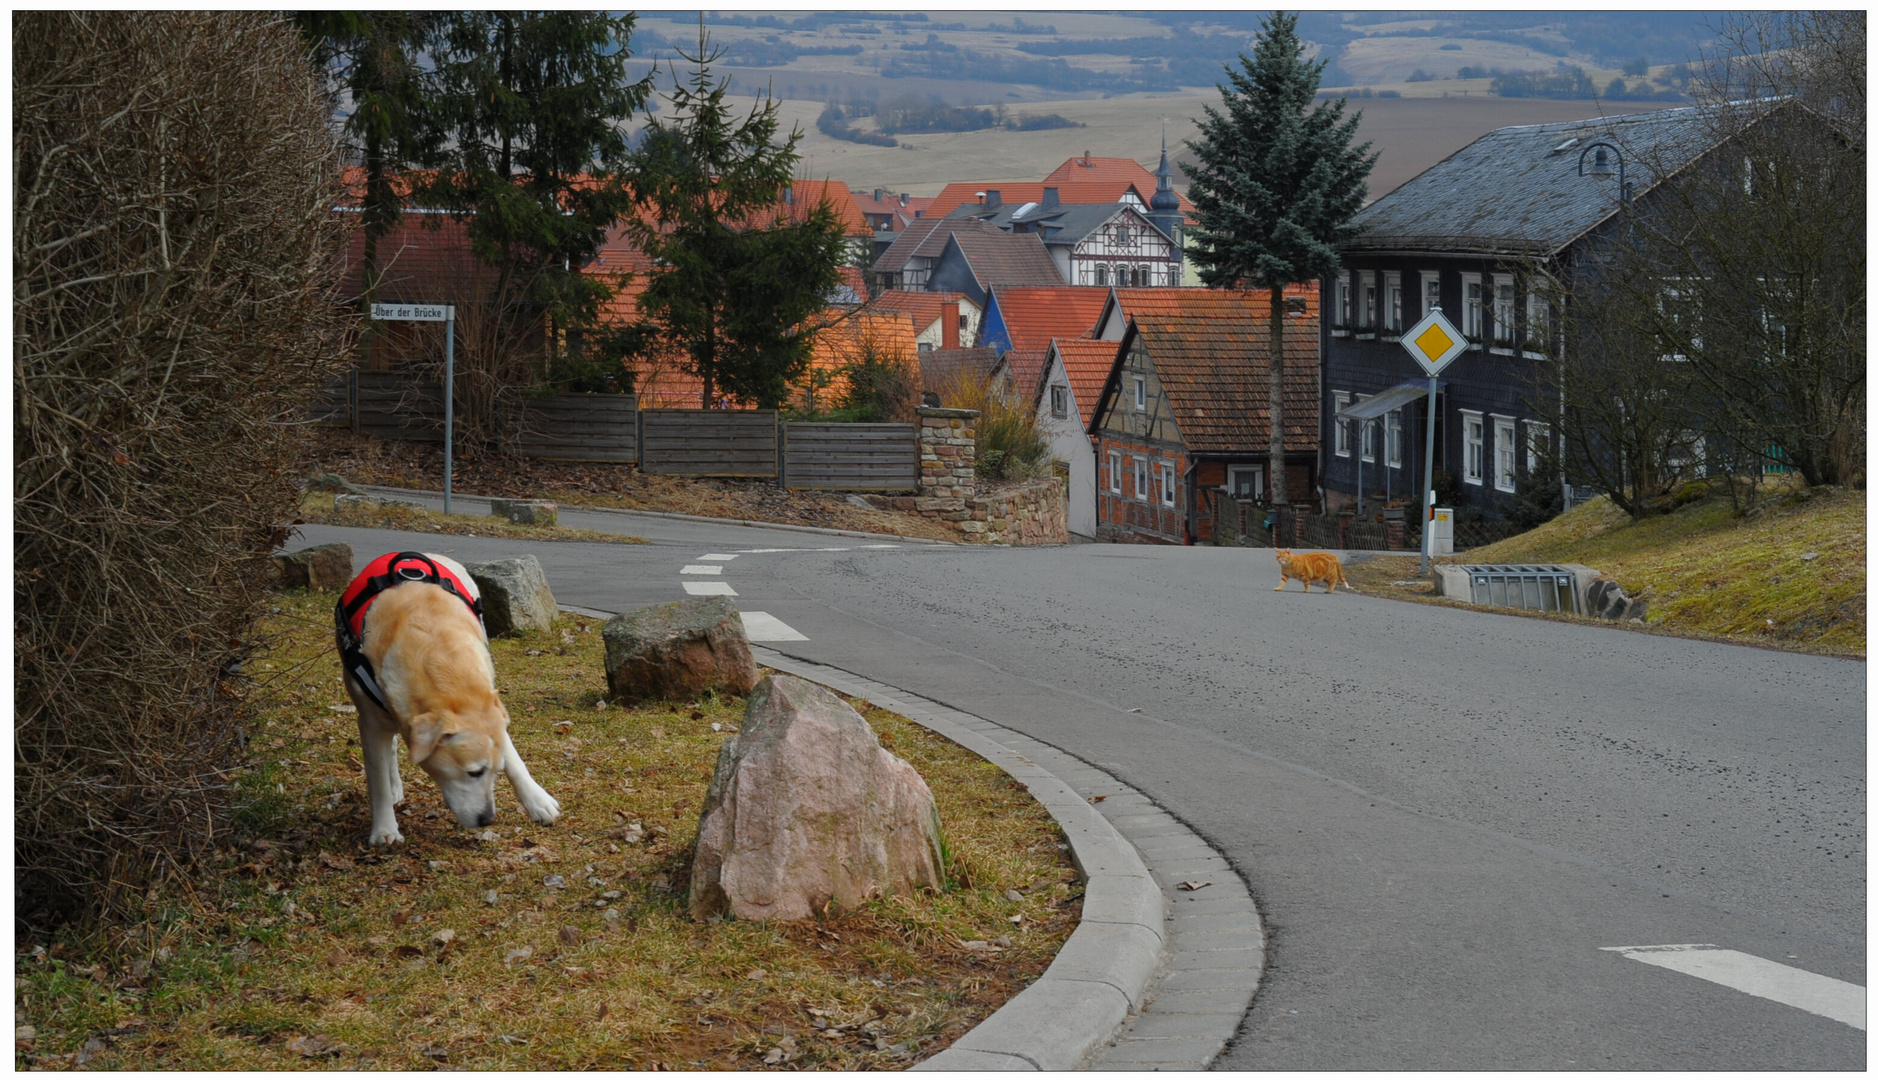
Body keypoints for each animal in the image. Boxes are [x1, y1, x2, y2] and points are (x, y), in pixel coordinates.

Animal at [336, 552, 555, 848]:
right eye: (474, 772)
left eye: (496, 771)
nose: (488, 819)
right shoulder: (370, 722)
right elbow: (377, 779)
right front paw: (384, 829)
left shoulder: (491, 706)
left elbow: (514, 758)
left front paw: (537, 800)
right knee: (388, 748)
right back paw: (394, 788)